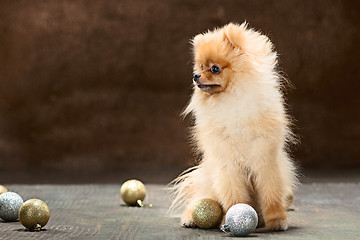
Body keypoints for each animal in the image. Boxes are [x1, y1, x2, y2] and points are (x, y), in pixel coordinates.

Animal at [171, 22, 298, 231]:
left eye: (215, 69)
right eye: (200, 67)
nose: (195, 75)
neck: (231, 100)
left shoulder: (265, 159)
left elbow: (271, 193)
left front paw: (276, 220)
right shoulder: (227, 164)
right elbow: (234, 196)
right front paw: (233, 215)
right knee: (200, 199)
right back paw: (190, 218)